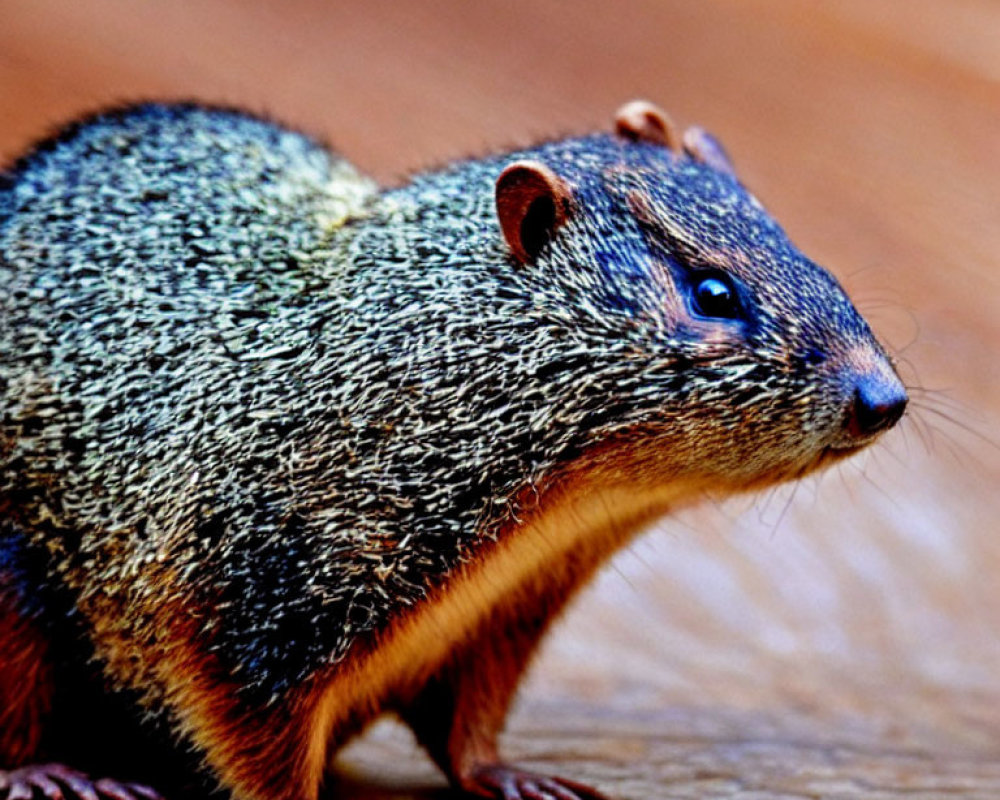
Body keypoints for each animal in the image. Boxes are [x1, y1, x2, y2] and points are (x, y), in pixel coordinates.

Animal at [0, 100, 908, 800]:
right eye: (712, 292)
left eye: (797, 247)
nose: (884, 399)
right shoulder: (249, 612)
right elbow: (260, 755)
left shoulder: (501, 621)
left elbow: (467, 731)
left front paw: (517, 779)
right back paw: (52, 774)